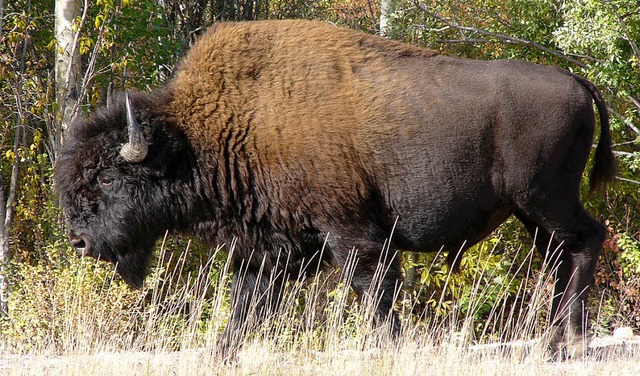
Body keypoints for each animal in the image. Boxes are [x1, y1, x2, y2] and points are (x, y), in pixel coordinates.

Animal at [56, 19, 616, 356]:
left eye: (108, 176)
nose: (79, 241)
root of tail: (578, 82)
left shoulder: (353, 234)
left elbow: (374, 294)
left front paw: (392, 348)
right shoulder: (268, 251)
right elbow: (245, 309)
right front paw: (223, 353)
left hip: (545, 199)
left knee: (587, 240)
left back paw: (569, 341)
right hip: (531, 212)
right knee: (560, 257)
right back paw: (552, 340)